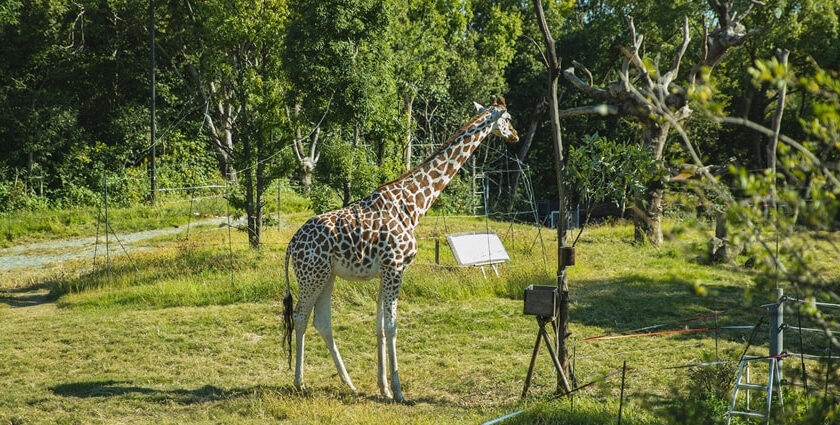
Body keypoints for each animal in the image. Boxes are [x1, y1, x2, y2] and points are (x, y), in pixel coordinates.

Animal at [284, 95, 520, 400]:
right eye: (508, 118)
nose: (515, 135)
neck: (414, 205)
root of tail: (291, 244)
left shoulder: (385, 270)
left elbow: (380, 328)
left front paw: (383, 387)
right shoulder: (395, 267)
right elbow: (392, 326)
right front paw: (398, 391)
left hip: (327, 275)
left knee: (321, 322)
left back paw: (349, 383)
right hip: (311, 275)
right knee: (300, 316)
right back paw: (299, 382)